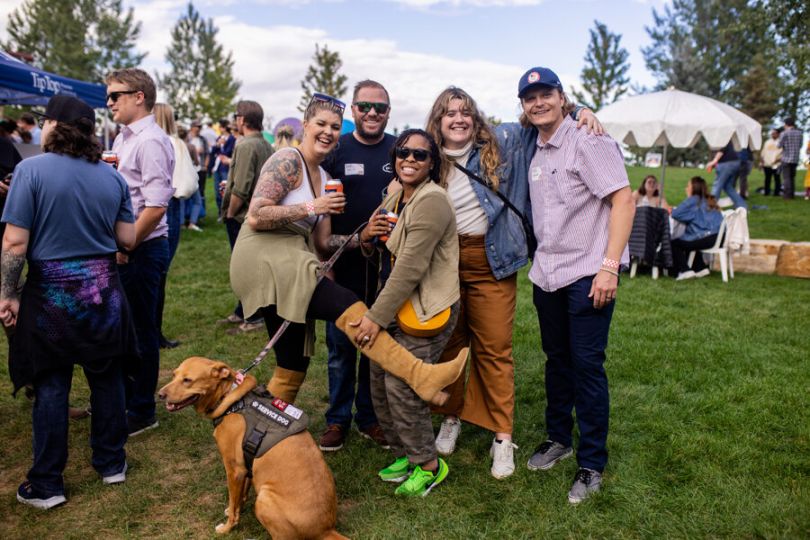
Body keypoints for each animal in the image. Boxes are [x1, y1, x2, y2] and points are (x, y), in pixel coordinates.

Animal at [158, 356, 348, 536]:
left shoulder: (234, 470)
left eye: (187, 380)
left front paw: (227, 528)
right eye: (174, 375)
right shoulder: (246, 466)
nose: (160, 395)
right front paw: (235, 509)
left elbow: (233, 502)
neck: (232, 401)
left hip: (263, 498)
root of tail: (326, 529)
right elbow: (239, 497)